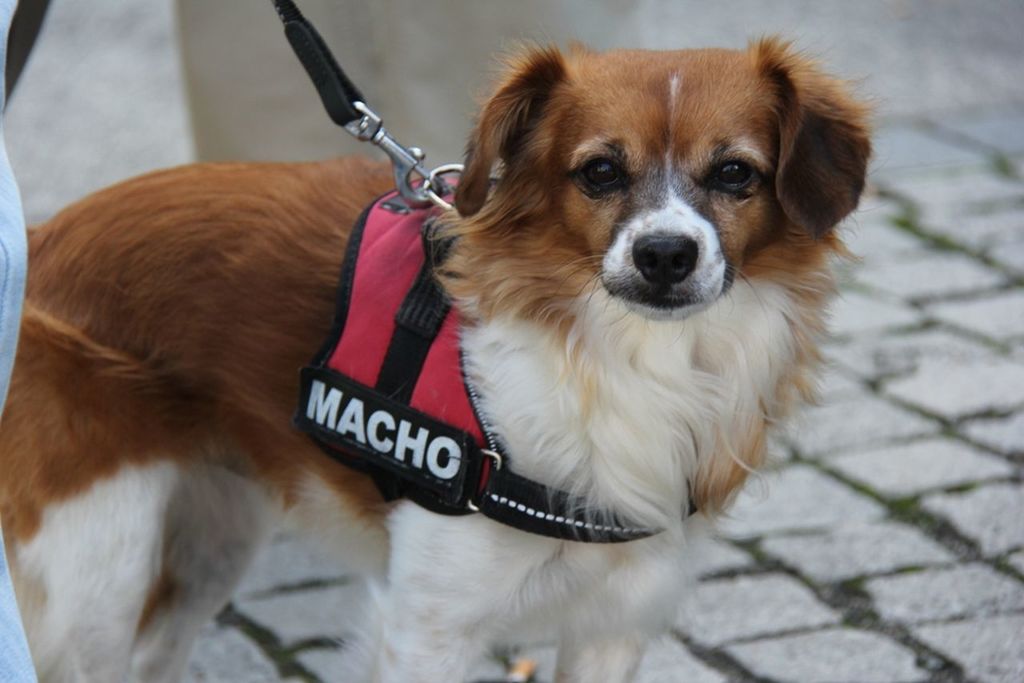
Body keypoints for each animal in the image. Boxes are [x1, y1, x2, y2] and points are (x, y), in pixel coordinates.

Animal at [0, 38, 868, 683]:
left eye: (735, 173)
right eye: (600, 171)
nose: (664, 255)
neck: (622, 358)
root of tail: (41, 239)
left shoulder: (615, 617)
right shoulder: (431, 624)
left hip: (217, 531)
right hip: (96, 572)